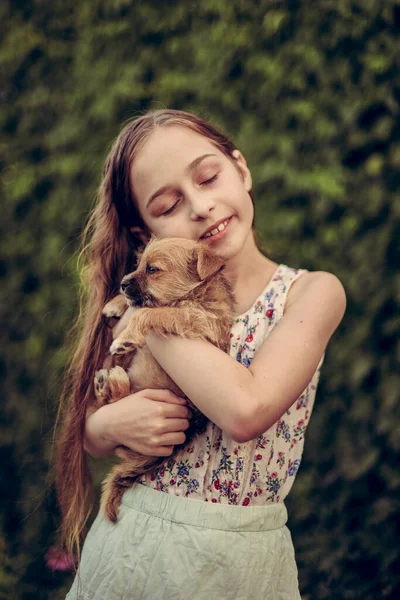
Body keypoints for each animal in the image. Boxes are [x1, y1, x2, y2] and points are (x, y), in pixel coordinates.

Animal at [95, 237, 236, 524]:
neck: (194, 294)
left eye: (153, 269)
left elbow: (151, 312)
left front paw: (125, 337)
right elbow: (140, 305)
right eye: (138, 265)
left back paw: (112, 381)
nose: (122, 283)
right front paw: (116, 304)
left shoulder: (198, 318)